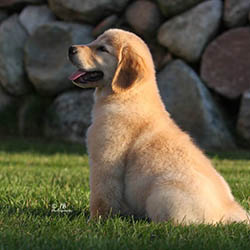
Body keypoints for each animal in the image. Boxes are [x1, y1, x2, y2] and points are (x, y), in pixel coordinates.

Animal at [67, 28, 249, 224]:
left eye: (102, 49)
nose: (70, 49)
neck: (127, 96)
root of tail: (228, 211)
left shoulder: (104, 162)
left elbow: (101, 197)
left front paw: (94, 221)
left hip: (161, 195)